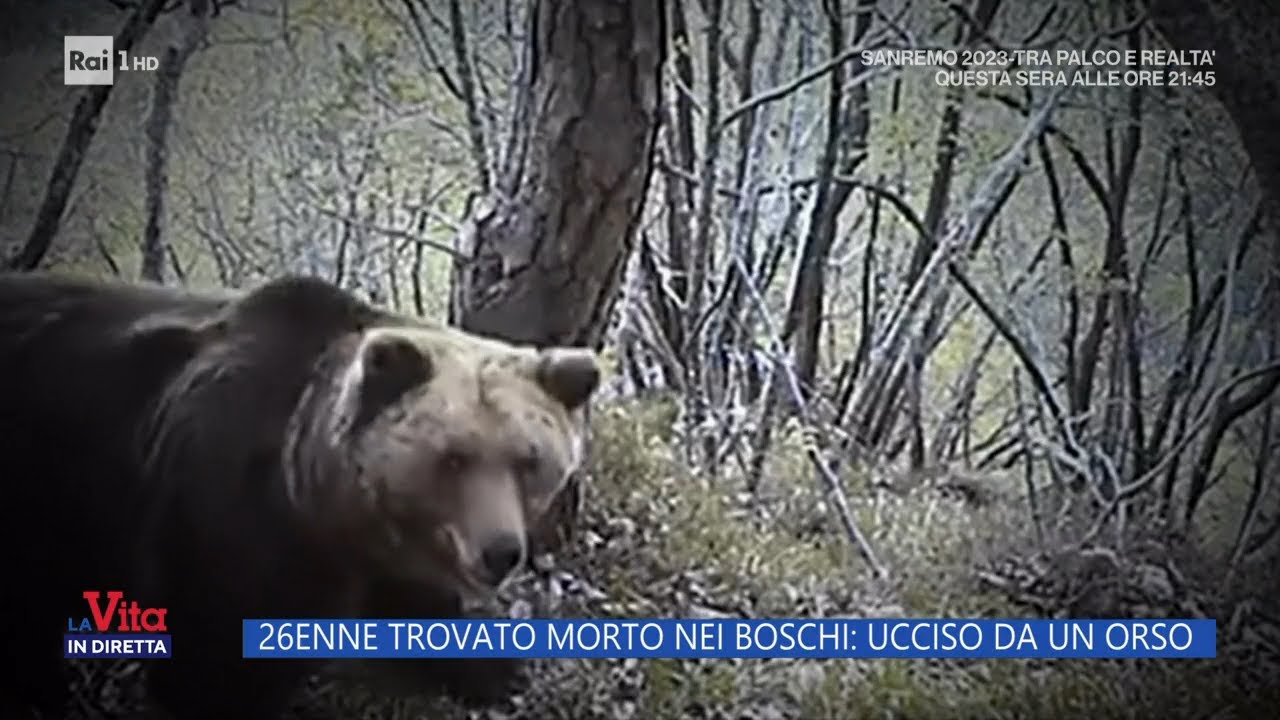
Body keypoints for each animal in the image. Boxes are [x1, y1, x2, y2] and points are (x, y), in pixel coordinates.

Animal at [0, 271, 601, 720]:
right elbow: (213, 667)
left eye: (528, 460)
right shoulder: (219, 513)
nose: (501, 551)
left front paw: (494, 670)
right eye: (453, 457)